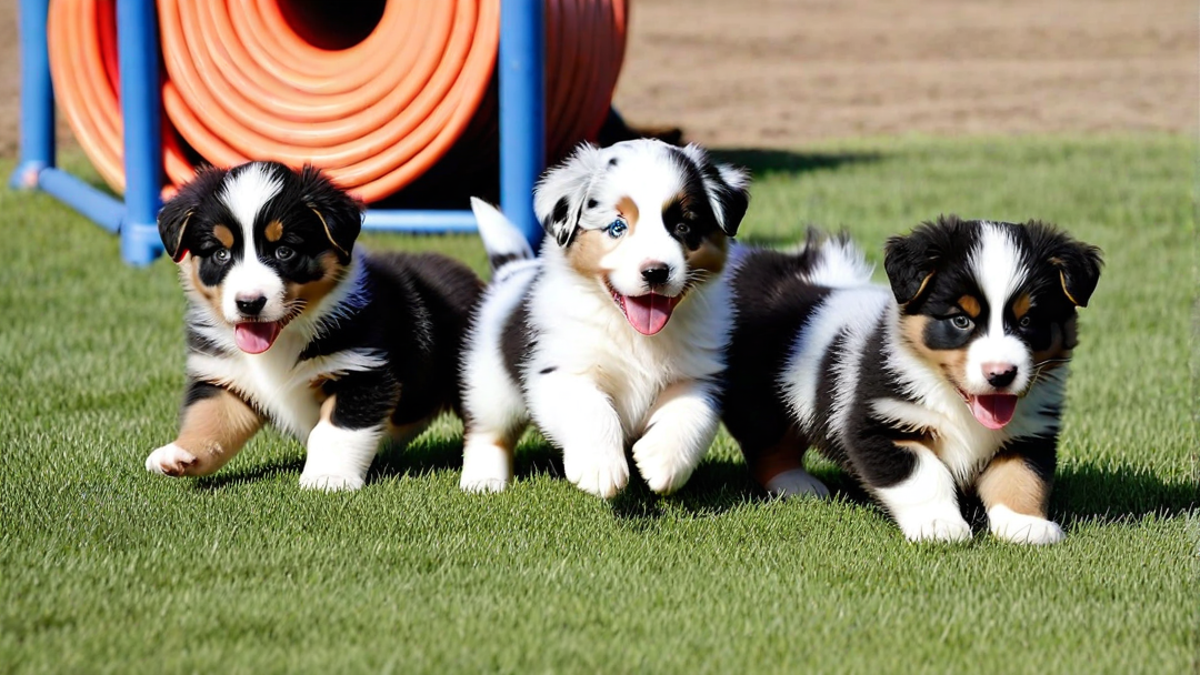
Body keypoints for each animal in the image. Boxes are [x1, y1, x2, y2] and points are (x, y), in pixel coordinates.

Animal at [140, 162, 477, 487]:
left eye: (284, 251)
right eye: (221, 254)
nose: (249, 303)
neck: (286, 337)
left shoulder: (362, 371)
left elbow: (336, 431)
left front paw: (328, 477)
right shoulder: (227, 377)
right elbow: (209, 417)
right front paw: (180, 453)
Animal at [453, 138, 744, 494]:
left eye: (683, 227)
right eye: (617, 227)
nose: (656, 272)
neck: (632, 332)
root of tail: (513, 271)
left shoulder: (699, 374)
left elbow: (691, 412)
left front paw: (663, 461)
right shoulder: (561, 369)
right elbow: (591, 409)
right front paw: (600, 468)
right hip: (488, 384)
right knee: (487, 432)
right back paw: (484, 480)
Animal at [720, 214, 1104, 540]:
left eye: (1028, 322)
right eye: (960, 320)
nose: (1000, 374)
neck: (954, 400)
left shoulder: (1029, 432)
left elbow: (1022, 478)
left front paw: (1026, 526)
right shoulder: (879, 425)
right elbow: (924, 474)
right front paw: (939, 525)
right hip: (761, 401)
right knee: (768, 446)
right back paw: (798, 485)